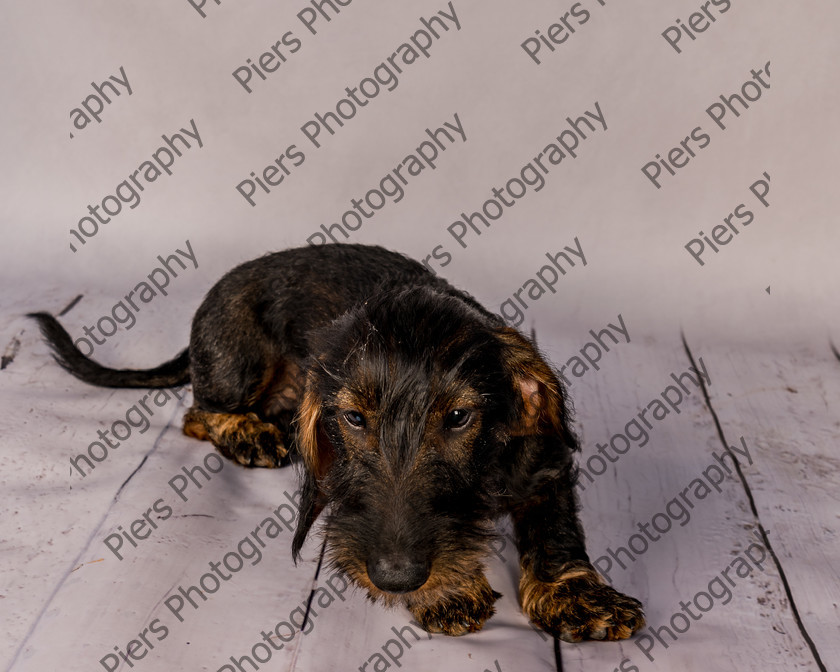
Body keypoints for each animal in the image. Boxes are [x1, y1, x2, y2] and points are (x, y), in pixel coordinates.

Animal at [27, 244, 644, 644]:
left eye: (459, 417)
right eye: (352, 418)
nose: (398, 576)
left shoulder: (541, 461)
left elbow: (556, 530)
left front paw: (575, 595)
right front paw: (445, 588)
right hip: (236, 361)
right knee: (196, 412)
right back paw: (248, 431)